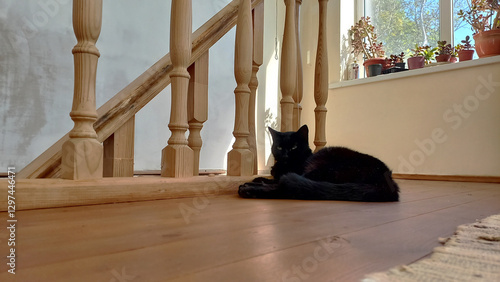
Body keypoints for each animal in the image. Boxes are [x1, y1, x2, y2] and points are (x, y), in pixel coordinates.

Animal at [238, 124, 398, 202]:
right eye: (279, 147)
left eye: (294, 147)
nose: (285, 155)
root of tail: (386, 180)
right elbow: (273, 178)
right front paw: (259, 178)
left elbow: (277, 179)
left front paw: (255, 182)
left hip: (320, 169)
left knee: (289, 188)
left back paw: (248, 189)